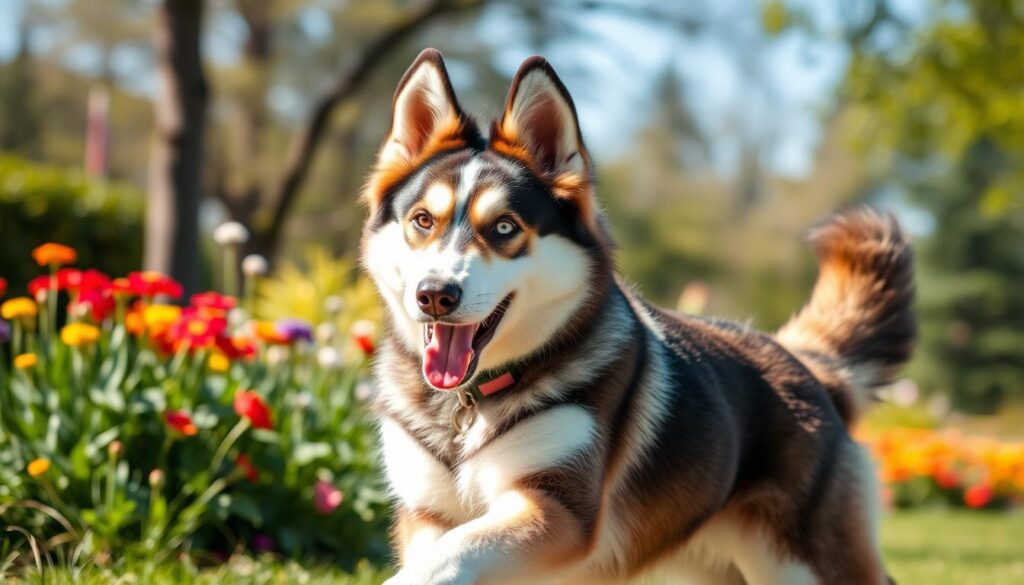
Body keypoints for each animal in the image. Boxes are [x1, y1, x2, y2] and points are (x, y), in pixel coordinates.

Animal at [360, 48, 913, 581]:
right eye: (422, 221)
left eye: (503, 228)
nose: (435, 294)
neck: (467, 409)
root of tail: (805, 361)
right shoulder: (427, 514)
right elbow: (438, 553)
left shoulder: (558, 509)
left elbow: (446, 558)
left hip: (803, 563)